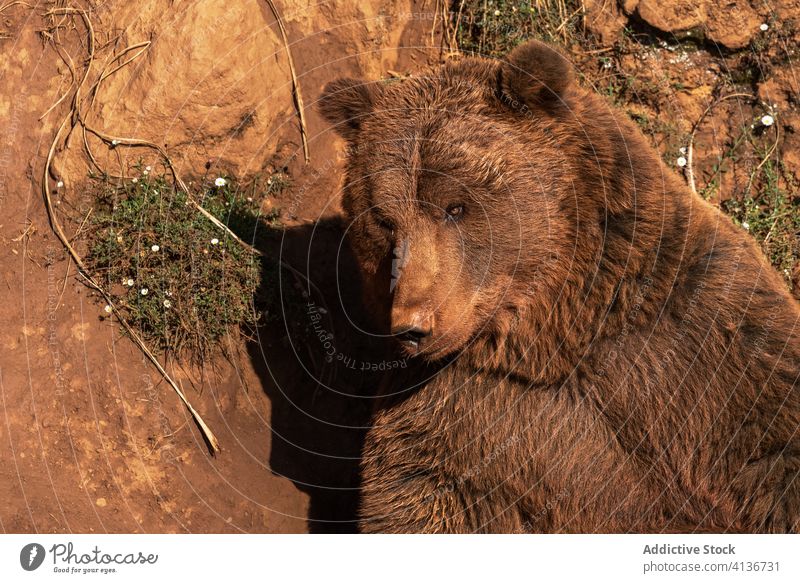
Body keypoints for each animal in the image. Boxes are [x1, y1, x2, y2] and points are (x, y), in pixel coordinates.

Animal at [318, 40, 800, 532]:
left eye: (456, 207)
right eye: (383, 221)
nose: (413, 326)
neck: (553, 338)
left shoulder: (702, 340)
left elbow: (775, 451)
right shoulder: (453, 414)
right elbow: (421, 495)